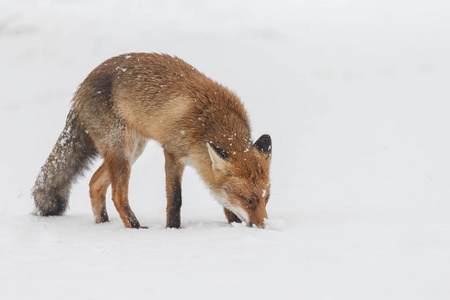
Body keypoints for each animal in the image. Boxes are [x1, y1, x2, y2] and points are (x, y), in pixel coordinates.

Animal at [31, 52, 272, 229]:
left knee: (94, 184)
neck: (210, 120)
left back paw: (103, 226)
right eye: (249, 200)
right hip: (122, 151)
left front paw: (233, 226)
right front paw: (173, 229)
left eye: (266, 198)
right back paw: (135, 228)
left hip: (132, 151)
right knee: (117, 195)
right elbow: (175, 199)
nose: (262, 227)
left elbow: (224, 202)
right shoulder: (173, 152)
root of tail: (81, 87)